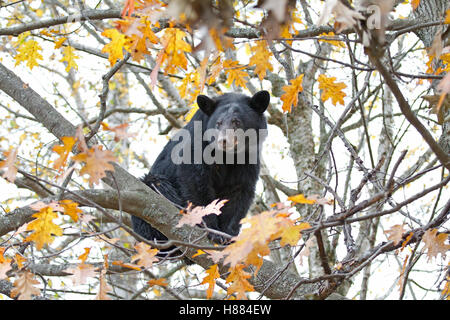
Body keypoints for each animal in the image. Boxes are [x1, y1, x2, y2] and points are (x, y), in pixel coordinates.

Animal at [132, 90, 268, 255]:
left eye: (237, 122)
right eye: (218, 123)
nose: (223, 141)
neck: (227, 156)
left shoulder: (249, 158)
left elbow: (239, 191)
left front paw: (228, 234)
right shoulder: (198, 144)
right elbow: (195, 180)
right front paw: (213, 231)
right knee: (157, 187)